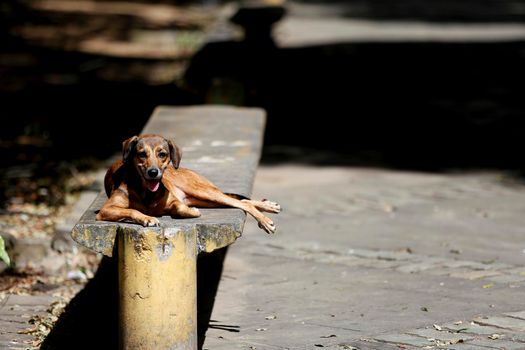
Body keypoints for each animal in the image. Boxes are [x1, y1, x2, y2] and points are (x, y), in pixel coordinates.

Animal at [95, 135, 280, 234]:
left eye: (162, 154)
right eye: (142, 154)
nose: (153, 172)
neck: (147, 192)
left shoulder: (174, 200)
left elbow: (178, 207)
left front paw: (189, 212)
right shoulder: (106, 210)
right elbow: (132, 210)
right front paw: (148, 218)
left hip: (202, 191)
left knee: (240, 202)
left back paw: (266, 216)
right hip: (204, 198)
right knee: (240, 201)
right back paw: (267, 207)